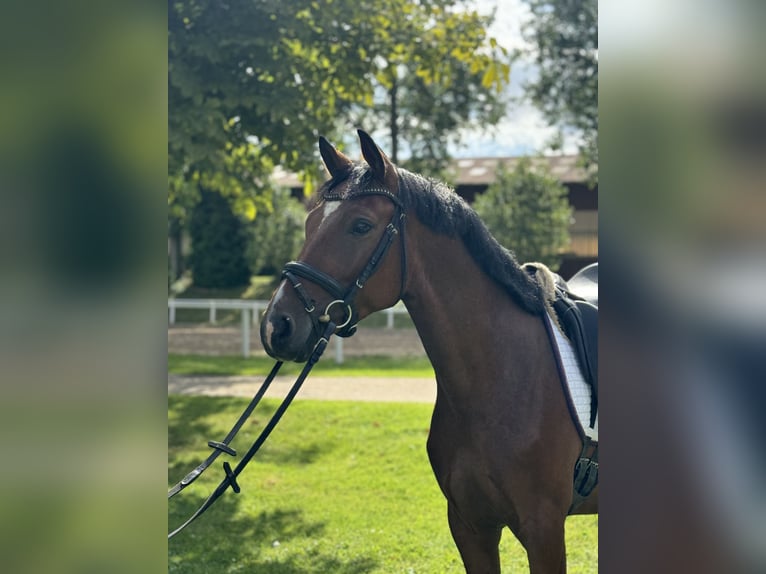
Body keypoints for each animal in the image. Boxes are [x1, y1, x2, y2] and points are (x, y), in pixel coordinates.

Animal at [262, 132, 600, 574]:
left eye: (360, 226)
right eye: (309, 223)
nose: (276, 326)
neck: (503, 377)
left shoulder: (544, 530)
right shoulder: (470, 526)